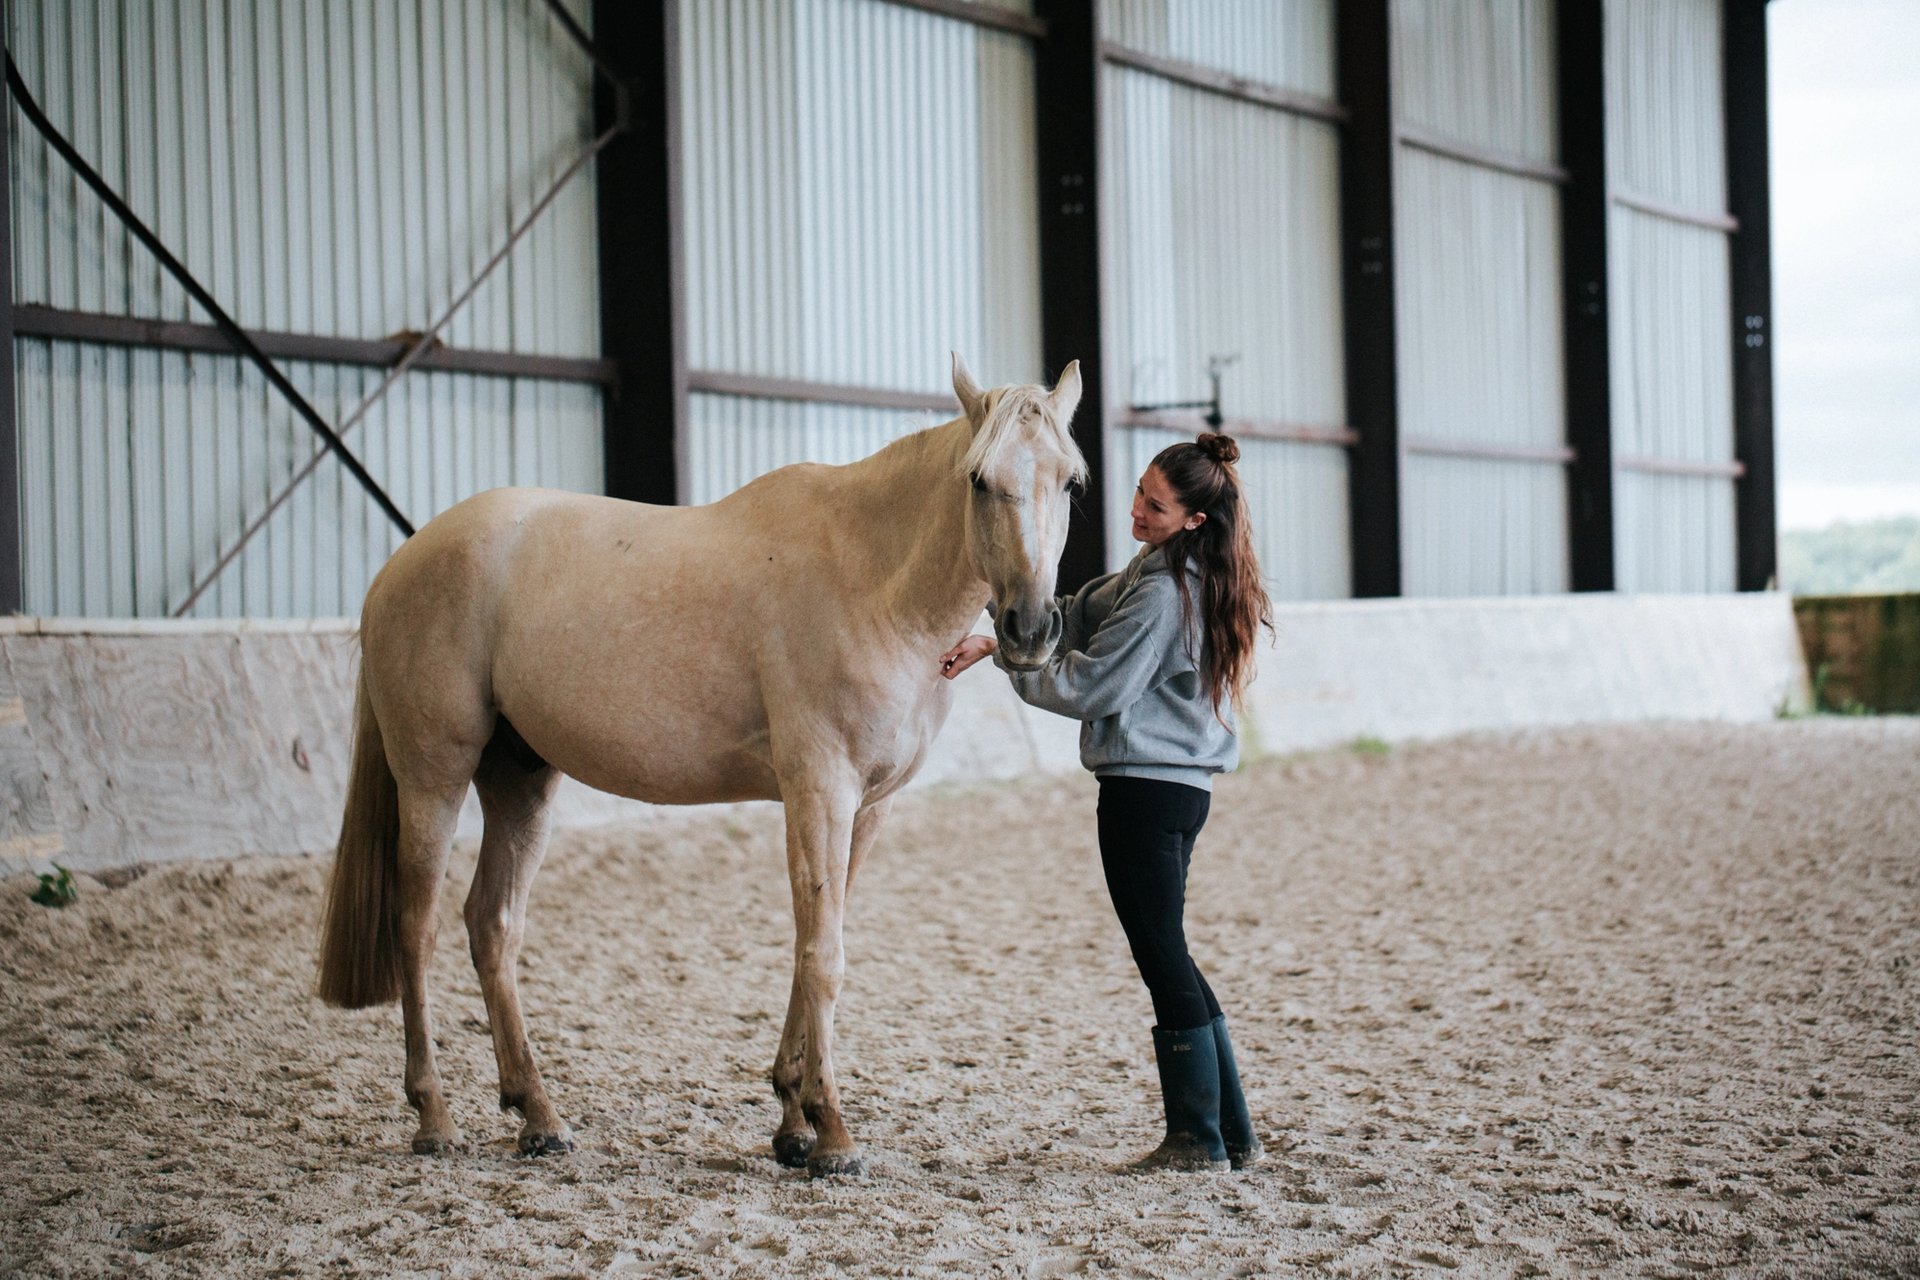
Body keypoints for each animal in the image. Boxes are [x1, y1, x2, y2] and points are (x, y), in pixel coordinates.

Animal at [317, 354, 1085, 1176]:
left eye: (1071, 481)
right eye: (978, 479)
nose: (1030, 629)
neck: (871, 576)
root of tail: (400, 564)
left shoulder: (868, 806)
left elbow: (812, 940)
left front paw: (792, 1119)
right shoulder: (820, 790)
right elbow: (823, 953)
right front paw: (833, 1133)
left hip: (521, 781)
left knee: (492, 925)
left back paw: (539, 1116)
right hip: (434, 776)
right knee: (415, 925)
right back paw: (433, 1117)